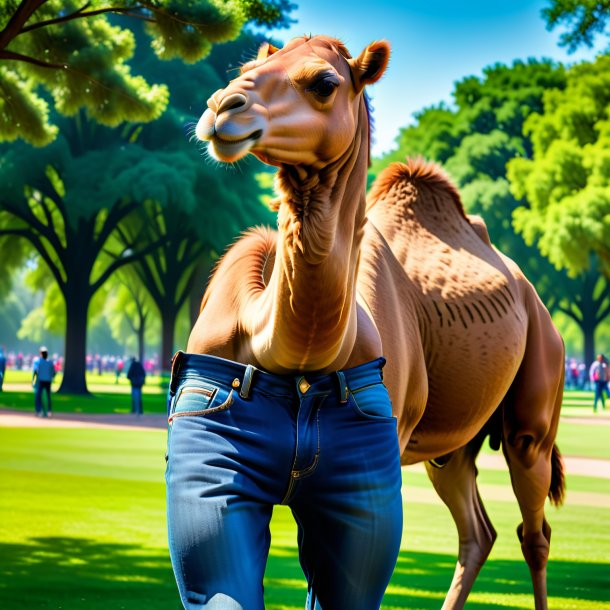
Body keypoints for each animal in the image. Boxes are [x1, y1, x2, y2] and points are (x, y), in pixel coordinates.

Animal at [190, 35, 564, 604]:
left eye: (324, 82)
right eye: (247, 67)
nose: (221, 108)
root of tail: (535, 299)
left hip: (537, 399)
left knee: (533, 529)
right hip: (452, 447)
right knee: (478, 529)